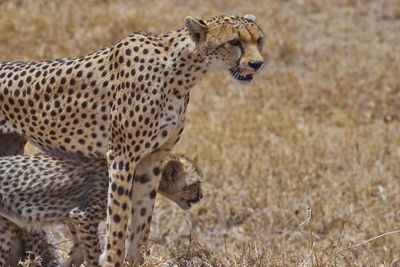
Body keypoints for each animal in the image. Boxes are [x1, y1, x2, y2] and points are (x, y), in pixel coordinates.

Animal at [0, 154, 202, 266]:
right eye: (194, 185)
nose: (201, 196)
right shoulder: (82, 215)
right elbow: (92, 254)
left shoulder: (73, 216)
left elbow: (78, 252)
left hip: (5, 230)